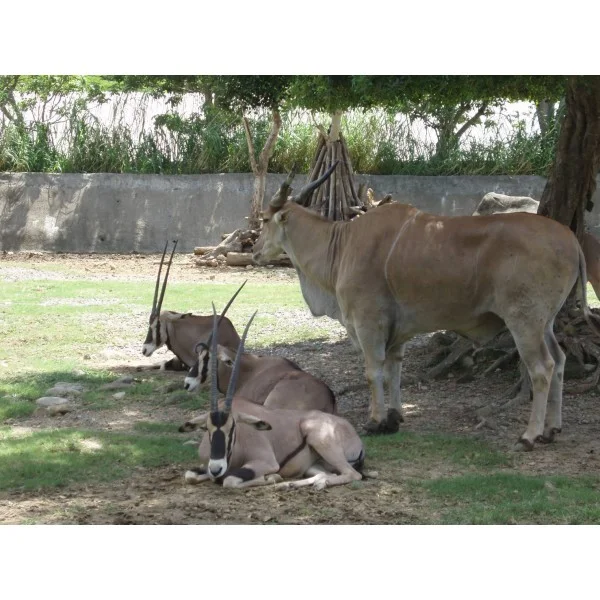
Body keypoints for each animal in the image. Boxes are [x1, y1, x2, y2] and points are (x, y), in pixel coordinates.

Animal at [180, 309, 366, 490]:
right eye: (207, 429)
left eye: (207, 358)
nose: (187, 383)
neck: (247, 370)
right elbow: (190, 476)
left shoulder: (265, 461)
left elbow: (230, 480)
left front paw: (271, 478)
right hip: (313, 464)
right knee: (325, 473)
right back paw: (292, 484)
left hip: (318, 437)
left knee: (352, 474)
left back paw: (317, 484)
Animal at [252, 162, 600, 450]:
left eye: (266, 220)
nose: (254, 252)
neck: (343, 245)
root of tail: (571, 239)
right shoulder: (397, 331)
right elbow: (394, 368)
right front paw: (394, 418)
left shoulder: (368, 323)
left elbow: (373, 370)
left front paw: (375, 421)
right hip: (545, 323)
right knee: (560, 359)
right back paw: (551, 430)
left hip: (524, 321)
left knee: (543, 368)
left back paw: (529, 435)